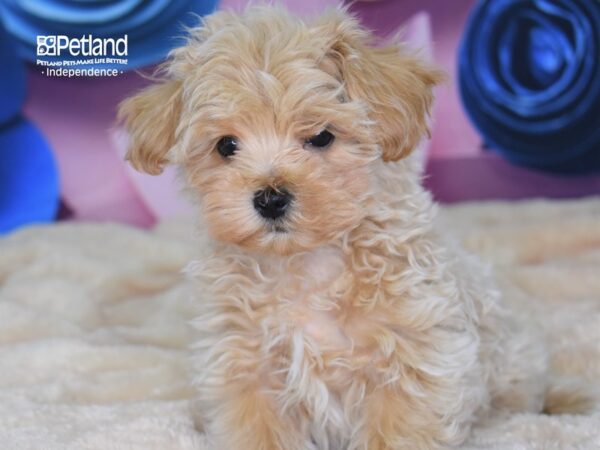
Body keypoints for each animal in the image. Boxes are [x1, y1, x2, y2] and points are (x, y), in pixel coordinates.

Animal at [118, 7, 592, 450]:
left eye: (321, 136)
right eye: (226, 146)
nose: (269, 199)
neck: (309, 265)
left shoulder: (415, 361)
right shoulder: (246, 368)